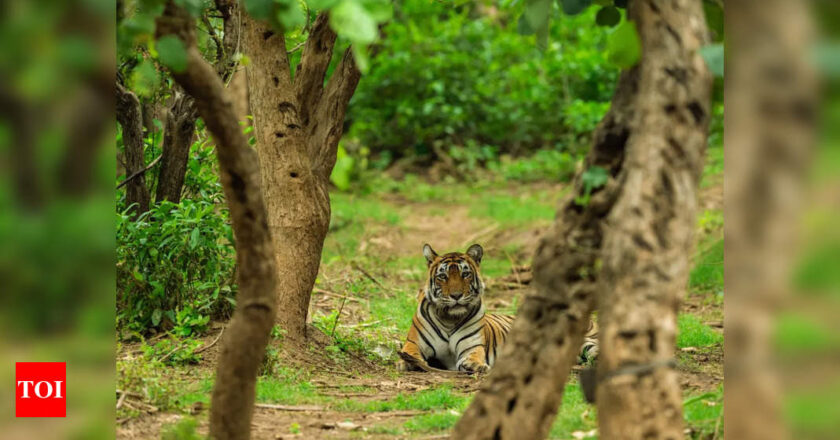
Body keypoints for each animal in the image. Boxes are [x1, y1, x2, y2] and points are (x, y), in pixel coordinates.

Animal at [398, 242, 596, 372]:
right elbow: (410, 352)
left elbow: (472, 355)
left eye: (465, 274)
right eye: (443, 276)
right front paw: (407, 362)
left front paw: (475, 365)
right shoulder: (414, 343)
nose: (456, 295)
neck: (449, 319)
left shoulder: (472, 346)